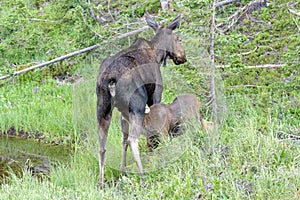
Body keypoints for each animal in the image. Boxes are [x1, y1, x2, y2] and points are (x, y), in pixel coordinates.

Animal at [96, 13, 185, 186]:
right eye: (178, 38)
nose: (183, 56)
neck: (158, 54)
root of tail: (111, 78)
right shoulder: (155, 95)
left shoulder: (122, 112)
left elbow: (122, 139)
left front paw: (123, 170)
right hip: (137, 106)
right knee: (133, 140)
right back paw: (143, 175)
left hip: (103, 109)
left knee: (103, 146)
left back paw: (102, 183)